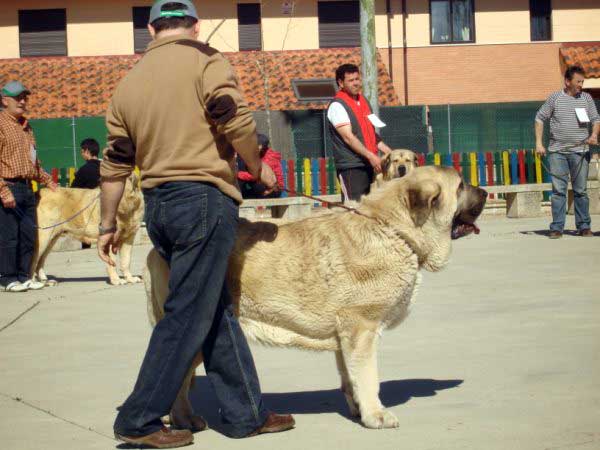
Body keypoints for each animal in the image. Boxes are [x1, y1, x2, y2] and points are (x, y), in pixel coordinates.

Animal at [145, 165, 488, 428]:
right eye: (460, 186)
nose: (484, 192)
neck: (392, 229)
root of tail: (155, 250)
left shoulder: (346, 335)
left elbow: (350, 376)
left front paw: (358, 409)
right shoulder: (362, 329)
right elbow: (369, 376)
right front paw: (376, 415)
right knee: (177, 378)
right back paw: (183, 421)